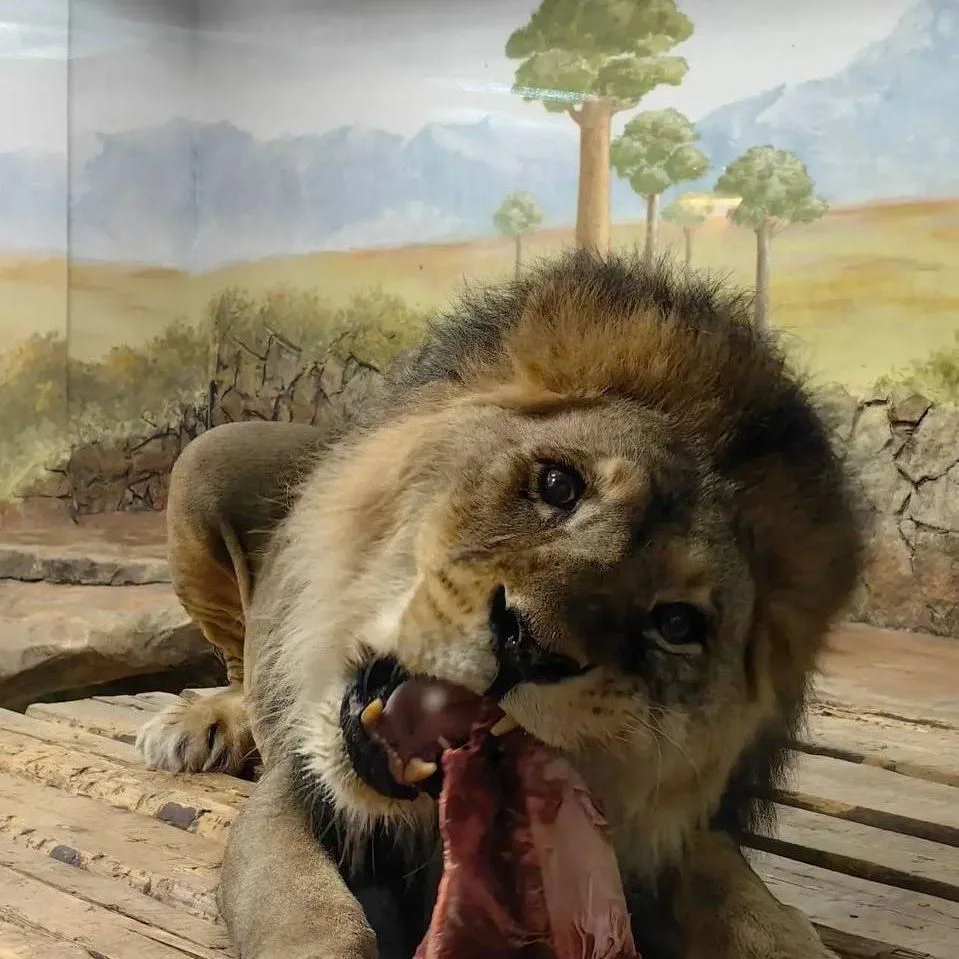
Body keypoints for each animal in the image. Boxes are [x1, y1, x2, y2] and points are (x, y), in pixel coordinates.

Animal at [137, 249, 863, 959]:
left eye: (677, 623)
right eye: (558, 485)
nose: (525, 642)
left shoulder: (673, 837)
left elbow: (755, 912)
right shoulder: (295, 787)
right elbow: (319, 921)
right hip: (210, 455)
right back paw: (200, 724)